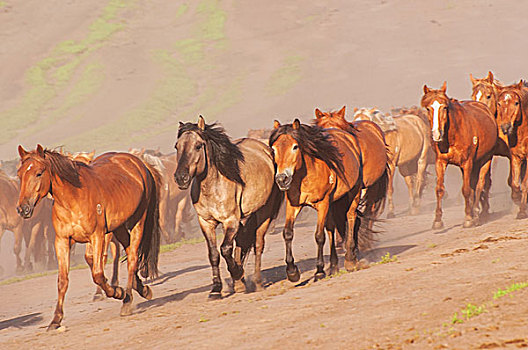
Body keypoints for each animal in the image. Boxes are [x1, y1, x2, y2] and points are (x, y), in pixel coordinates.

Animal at [17, 144, 161, 330]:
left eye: (39, 173)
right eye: (19, 174)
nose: (23, 208)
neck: (73, 198)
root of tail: (140, 164)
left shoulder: (97, 236)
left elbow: (98, 274)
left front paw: (118, 292)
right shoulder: (62, 241)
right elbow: (63, 280)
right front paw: (56, 319)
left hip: (138, 220)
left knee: (133, 258)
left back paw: (127, 299)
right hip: (119, 228)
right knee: (130, 253)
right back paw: (142, 289)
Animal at [174, 116, 282, 296]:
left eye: (198, 145)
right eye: (177, 146)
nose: (181, 178)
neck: (213, 187)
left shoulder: (230, 221)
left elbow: (225, 249)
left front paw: (237, 273)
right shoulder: (206, 222)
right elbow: (214, 254)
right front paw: (216, 289)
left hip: (263, 213)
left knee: (258, 244)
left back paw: (257, 282)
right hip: (244, 219)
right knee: (240, 245)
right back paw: (239, 284)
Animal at [270, 119, 378, 278]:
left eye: (295, 146)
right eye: (273, 149)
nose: (282, 179)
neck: (306, 176)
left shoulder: (322, 204)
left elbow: (319, 236)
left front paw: (319, 271)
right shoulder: (293, 205)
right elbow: (288, 233)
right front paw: (292, 272)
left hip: (354, 192)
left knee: (351, 218)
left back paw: (350, 260)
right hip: (333, 203)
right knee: (331, 227)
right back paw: (334, 266)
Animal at [420, 82, 500, 230]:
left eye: (445, 107)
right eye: (428, 109)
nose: (436, 134)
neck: (453, 134)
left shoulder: (467, 162)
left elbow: (467, 190)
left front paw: (468, 218)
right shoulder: (440, 162)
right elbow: (439, 189)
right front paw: (437, 221)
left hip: (486, 159)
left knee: (479, 184)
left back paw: (476, 213)